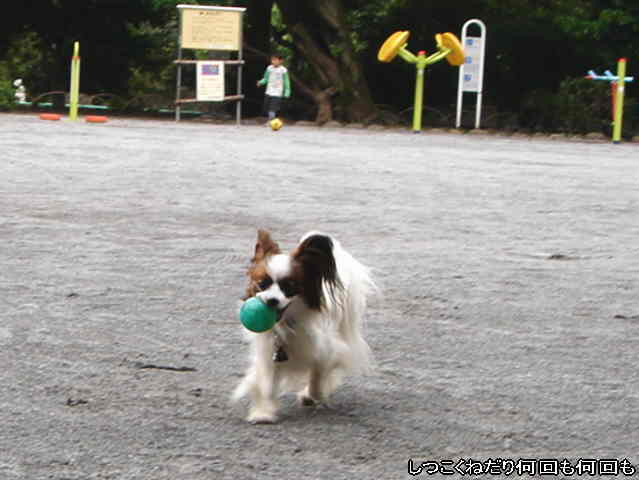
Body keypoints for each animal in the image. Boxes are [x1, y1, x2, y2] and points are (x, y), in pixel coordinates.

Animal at [234, 231, 376, 422]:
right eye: (262, 283)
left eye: (289, 286)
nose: (272, 301)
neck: (288, 322)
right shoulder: (268, 351)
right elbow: (267, 384)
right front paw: (263, 412)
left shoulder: (326, 348)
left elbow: (318, 373)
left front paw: (312, 394)